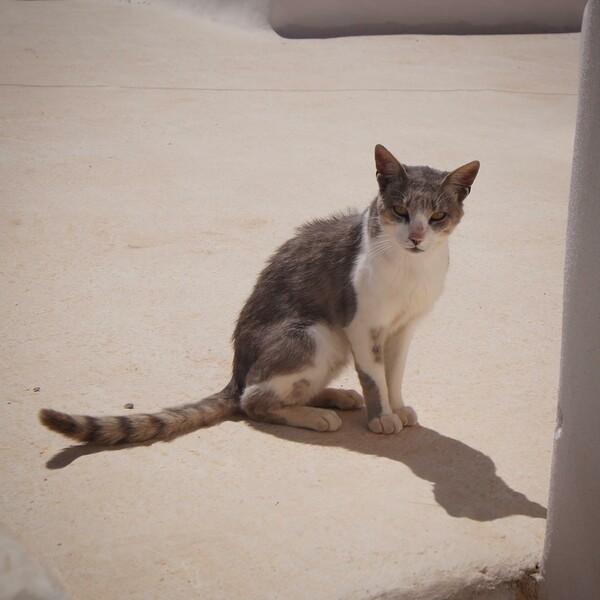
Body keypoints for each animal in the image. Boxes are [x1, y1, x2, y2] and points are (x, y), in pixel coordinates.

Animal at [38, 145, 478, 446]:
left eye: (437, 216)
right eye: (400, 211)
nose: (417, 237)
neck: (411, 270)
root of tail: (235, 372)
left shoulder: (404, 328)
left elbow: (394, 373)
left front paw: (397, 406)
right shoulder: (362, 324)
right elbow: (375, 378)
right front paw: (382, 416)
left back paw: (333, 396)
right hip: (317, 333)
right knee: (254, 400)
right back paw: (314, 415)